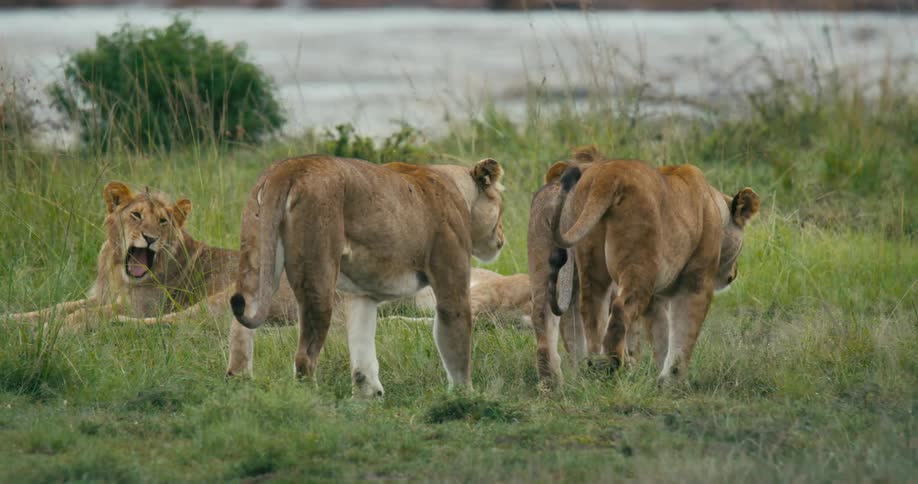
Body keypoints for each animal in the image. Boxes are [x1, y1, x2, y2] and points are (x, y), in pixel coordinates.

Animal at [4, 181, 299, 329]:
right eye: (136, 215)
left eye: (163, 221)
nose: (150, 238)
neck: (118, 272)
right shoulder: (100, 296)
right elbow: (55, 307)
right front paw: (10, 319)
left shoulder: (138, 306)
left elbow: (82, 314)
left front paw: (59, 327)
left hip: (226, 298)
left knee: (178, 322)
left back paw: (117, 323)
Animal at [228, 155, 505, 397]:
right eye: (501, 209)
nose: (503, 236)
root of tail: (289, 167)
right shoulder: (451, 285)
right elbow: (456, 344)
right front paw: (465, 396)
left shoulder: (362, 295)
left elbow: (362, 346)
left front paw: (367, 396)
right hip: (318, 275)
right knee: (304, 356)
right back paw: (311, 401)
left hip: (257, 256)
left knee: (241, 322)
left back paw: (240, 380)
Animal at [550, 158, 759, 385]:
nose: (734, 273)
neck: (714, 205)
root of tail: (610, 174)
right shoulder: (697, 282)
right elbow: (683, 333)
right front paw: (675, 382)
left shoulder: (656, 298)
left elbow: (662, 336)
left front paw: (663, 377)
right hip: (639, 266)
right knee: (620, 310)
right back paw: (616, 366)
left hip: (592, 263)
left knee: (592, 310)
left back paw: (596, 368)